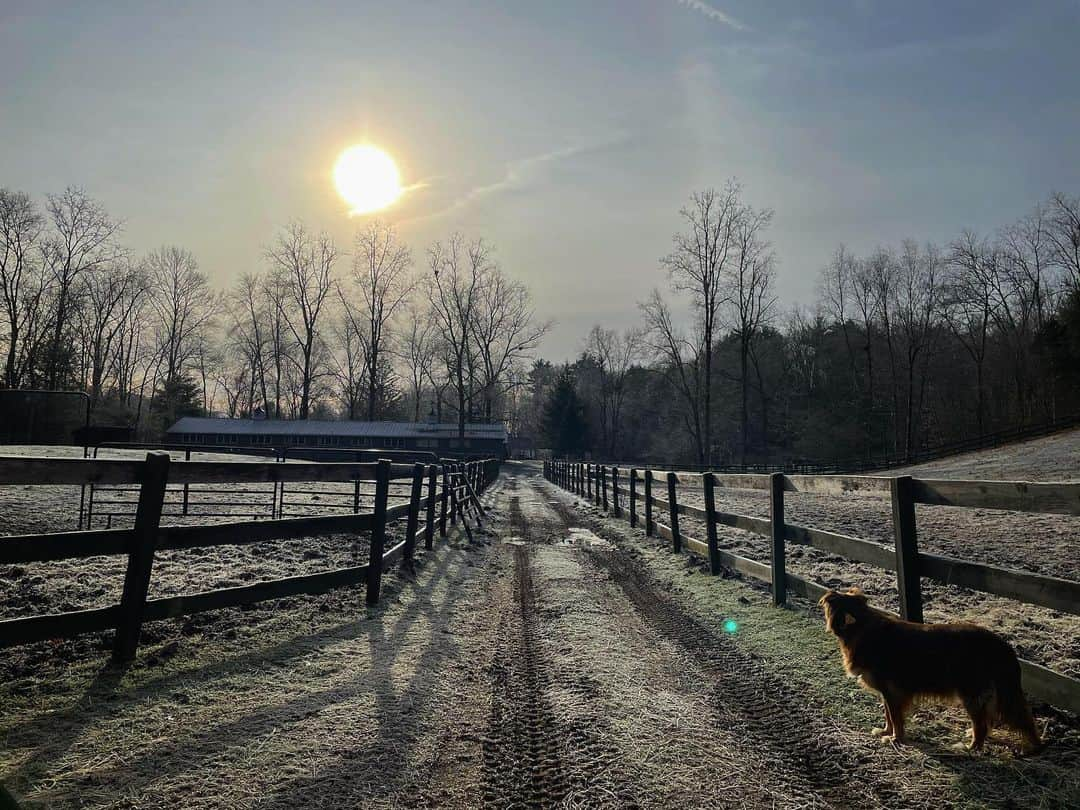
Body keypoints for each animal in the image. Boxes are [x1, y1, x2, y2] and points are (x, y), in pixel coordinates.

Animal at [820, 591, 1041, 756]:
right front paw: (886, 731)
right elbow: (888, 716)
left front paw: (895, 738)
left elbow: (895, 718)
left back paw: (972, 747)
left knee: (981, 724)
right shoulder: (886, 693)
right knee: (987, 719)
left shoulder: (892, 691)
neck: (861, 627)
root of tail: (1003, 646)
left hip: (970, 693)